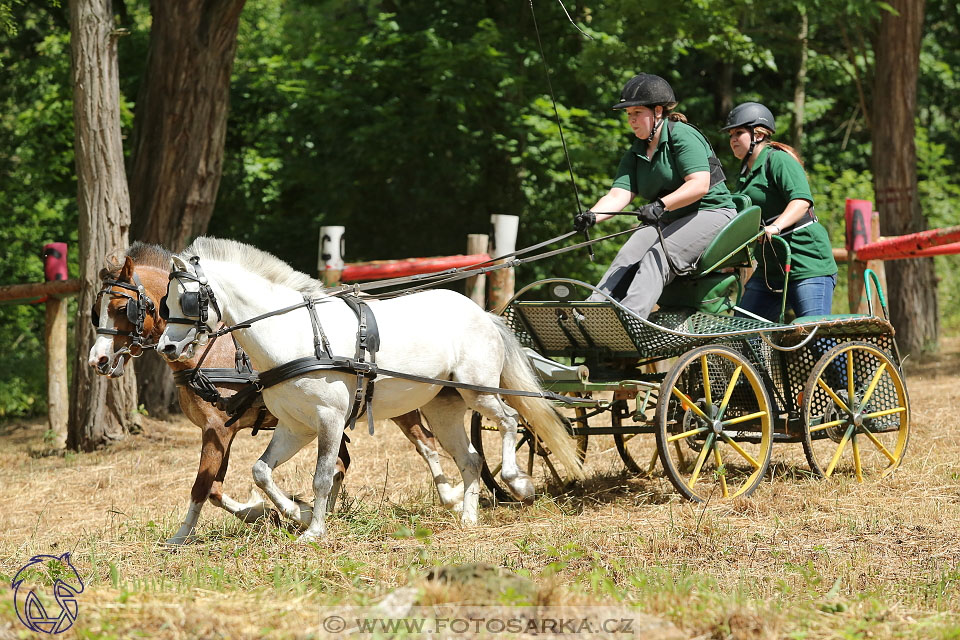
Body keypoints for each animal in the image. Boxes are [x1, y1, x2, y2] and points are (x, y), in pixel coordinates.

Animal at [88, 242, 464, 544]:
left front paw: (185, 535)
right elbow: (216, 488)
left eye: (122, 308)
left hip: (401, 405)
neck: (212, 351)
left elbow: (203, 487)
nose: (98, 359)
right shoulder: (223, 431)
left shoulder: (217, 429)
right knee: (344, 462)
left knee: (426, 444)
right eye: (96, 311)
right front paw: (278, 512)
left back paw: (452, 497)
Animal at [156, 238, 584, 544]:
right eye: (164, 303)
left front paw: (313, 530)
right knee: (471, 459)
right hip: (443, 409)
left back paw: (518, 481)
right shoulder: (295, 425)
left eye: (189, 299)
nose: (167, 348)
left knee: (510, 422)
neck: (295, 334)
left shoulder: (329, 420)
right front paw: (299, 513)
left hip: (478, 392)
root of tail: (484, 314)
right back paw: (468, 516)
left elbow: (323, 475)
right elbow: (261, 471)